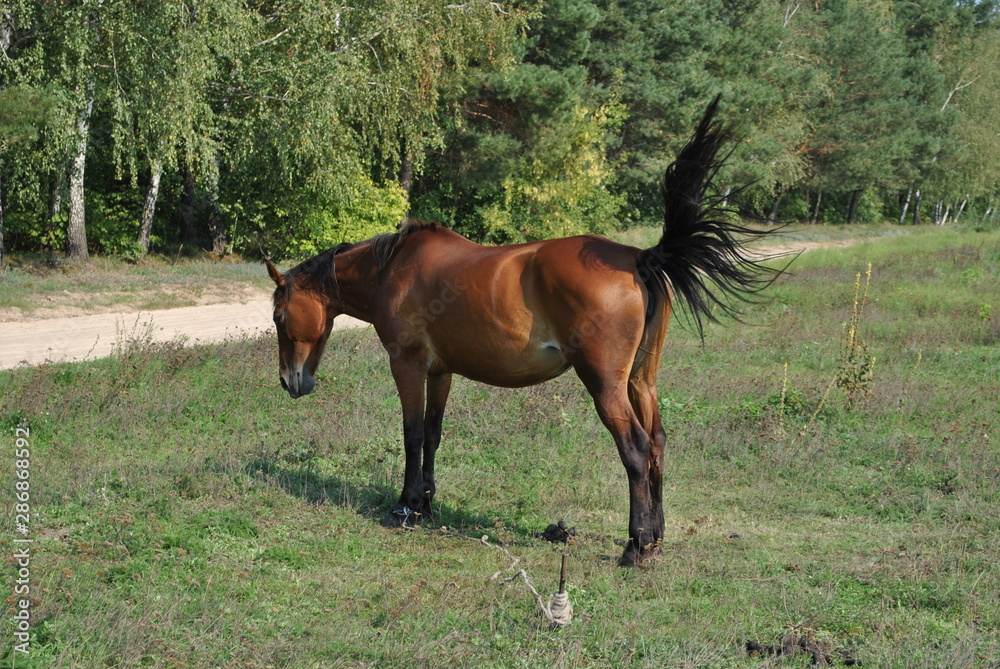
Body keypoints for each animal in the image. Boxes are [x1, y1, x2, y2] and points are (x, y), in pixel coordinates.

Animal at [265, 97, 782, 566]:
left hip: (604, 383)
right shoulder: (440, 371)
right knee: (656, 443)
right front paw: (427, 503)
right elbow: (432, 434)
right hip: (640, 380)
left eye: (278, 318)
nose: (291, 382)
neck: (394, 268)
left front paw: (406, 507)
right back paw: (655, 540)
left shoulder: (407, 364)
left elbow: (411, 434)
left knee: (635, 450)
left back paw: (634, 548)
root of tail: (640, 257)